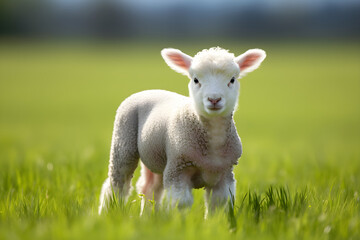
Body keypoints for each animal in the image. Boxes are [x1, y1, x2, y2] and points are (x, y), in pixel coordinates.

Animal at [100, 46, 266, 214]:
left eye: (232, 80)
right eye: (196, 80)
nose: (214, 99)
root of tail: (148, 90)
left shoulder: (225, 173)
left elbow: (219, 204)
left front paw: (214, 221)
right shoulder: (177, 169)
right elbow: (181, 202)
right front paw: (178, 220)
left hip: (157, 154)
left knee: (149, 187)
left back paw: (146, 215)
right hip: (124, 141)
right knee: (117, 183)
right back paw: (108, 212)